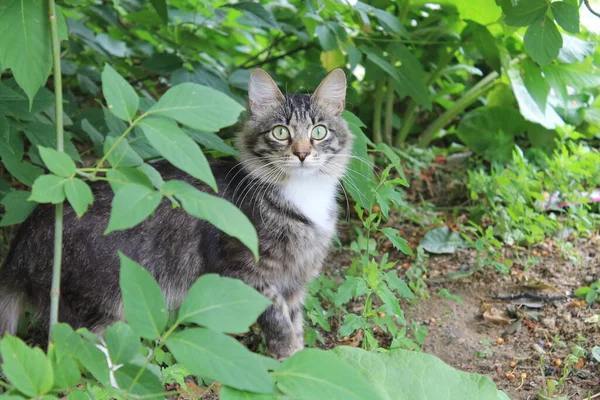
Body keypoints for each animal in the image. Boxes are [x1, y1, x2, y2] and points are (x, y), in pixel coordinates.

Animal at [0, 67, 352, 358]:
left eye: (319, 132)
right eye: (281, 132)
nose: (302, 153)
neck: (304, 196)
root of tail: (20, 246)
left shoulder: (295, 279)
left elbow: (295, 320)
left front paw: (301, 359)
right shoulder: (246, 273)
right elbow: (279, 321)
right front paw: (288, 360)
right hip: (98, 304)